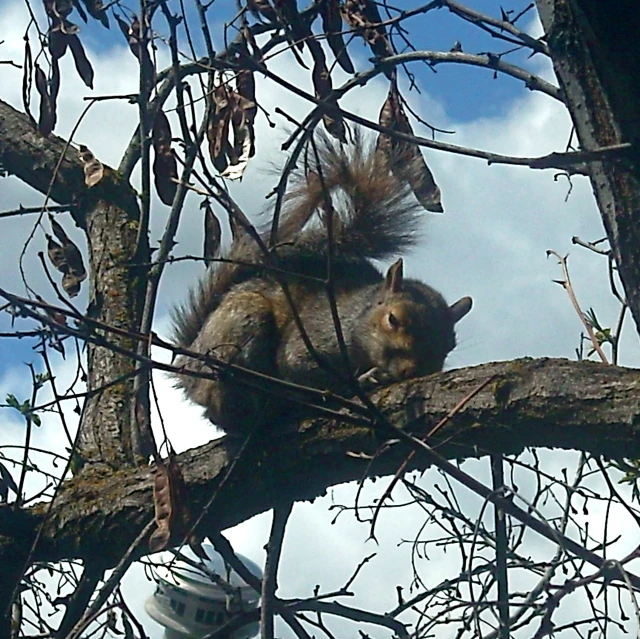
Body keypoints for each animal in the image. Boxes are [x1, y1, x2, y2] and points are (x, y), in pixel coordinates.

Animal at [170, 132, 470, 438]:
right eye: (393, 319)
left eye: (449, 346)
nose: (413, 371)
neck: (355, 317)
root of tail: (187, 363)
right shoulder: (314, 336)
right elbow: (300, 369)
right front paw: (364, 379)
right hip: (241, 323)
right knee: (226, 410)